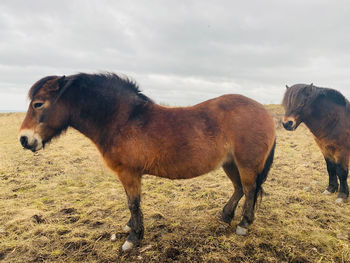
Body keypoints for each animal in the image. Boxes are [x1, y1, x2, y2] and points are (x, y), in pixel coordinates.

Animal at [19, 73, 276, 252]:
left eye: (38, 103)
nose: (24, 139)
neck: (122, 120)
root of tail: (264, 112)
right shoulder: (127, 175)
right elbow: (131, 203)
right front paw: (130, 227)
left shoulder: (129, 173)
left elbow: (133, 203)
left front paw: (133, 239)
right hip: (230, 164)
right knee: (239, 188)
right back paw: (225, 217)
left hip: (246, 164)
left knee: (250, 189)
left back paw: (243, 224)